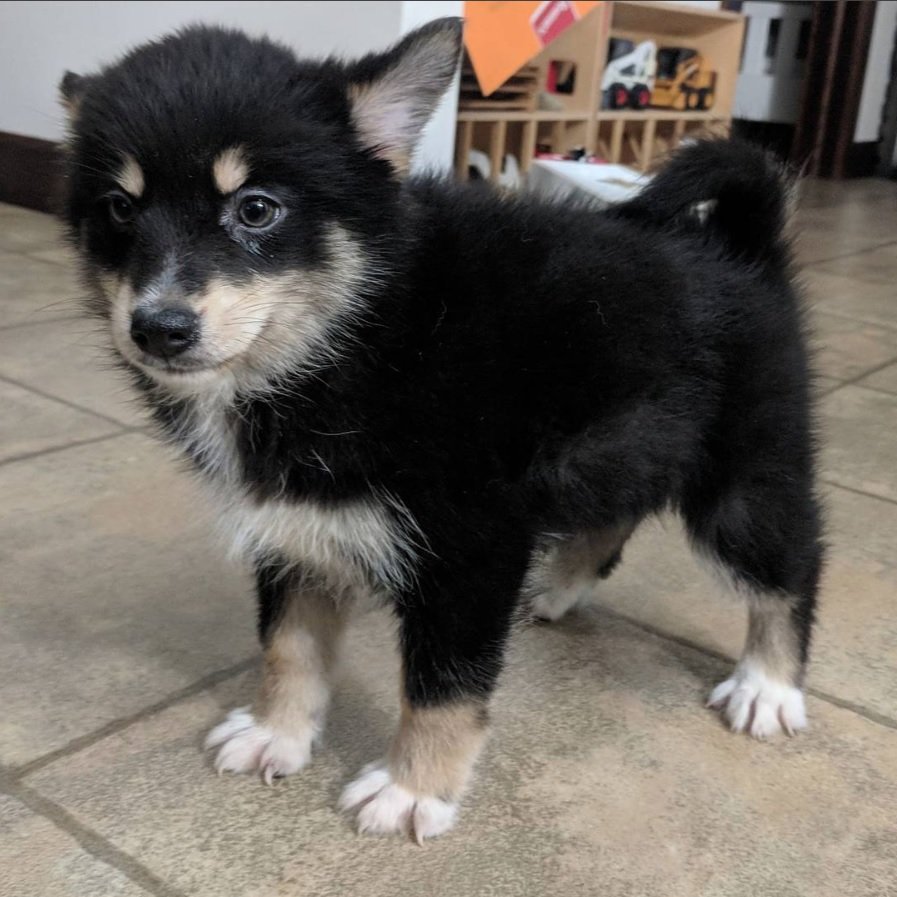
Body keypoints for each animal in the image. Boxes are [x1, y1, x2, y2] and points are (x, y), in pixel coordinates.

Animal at [59, 19, 824, 840]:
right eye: (118, 208)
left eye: (257, 209)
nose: (157, 329)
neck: (360, 334)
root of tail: (746, 249)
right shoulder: (294, 526)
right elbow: (288, 646)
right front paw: (276, 731)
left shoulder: (470, 549)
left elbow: (441, 687)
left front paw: (412, 789)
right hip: (626, 439)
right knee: (613, 514)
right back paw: (560, 589)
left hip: (742, 479)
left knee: (791, 568)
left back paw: (769, 685)